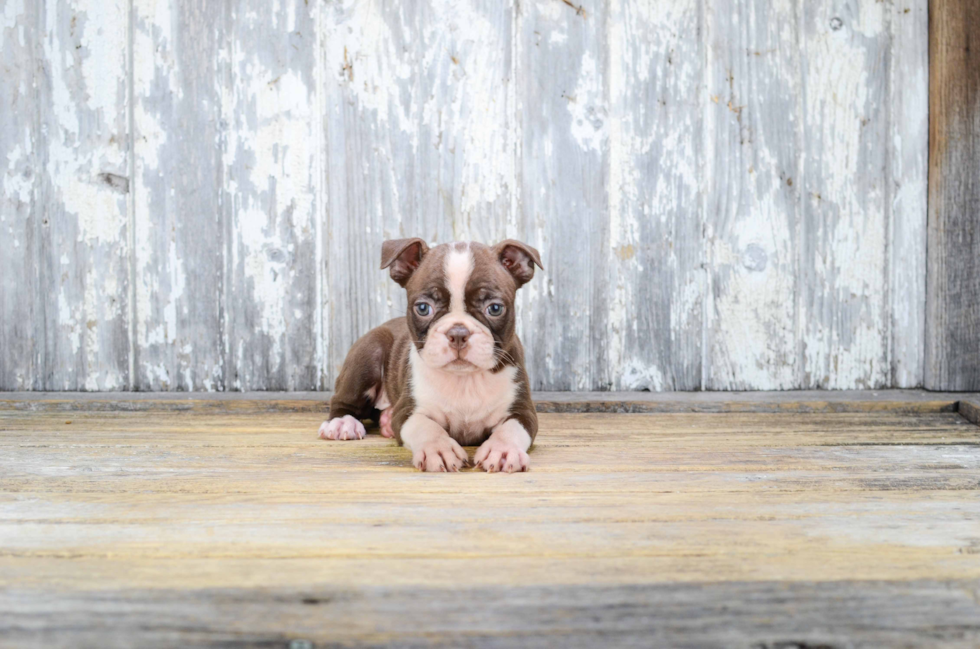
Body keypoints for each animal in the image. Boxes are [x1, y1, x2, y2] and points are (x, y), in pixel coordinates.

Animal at [318, 238, 544, 470]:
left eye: (495, 308)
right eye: (423, 308)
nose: (458, 333)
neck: (464, 380)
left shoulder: (523, 411)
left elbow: (511, 428)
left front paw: (503, 450)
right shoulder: (407, 412)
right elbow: (425, 426)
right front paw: (439, 448)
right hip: (369, 352)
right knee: (343, 401)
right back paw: (342, 422)